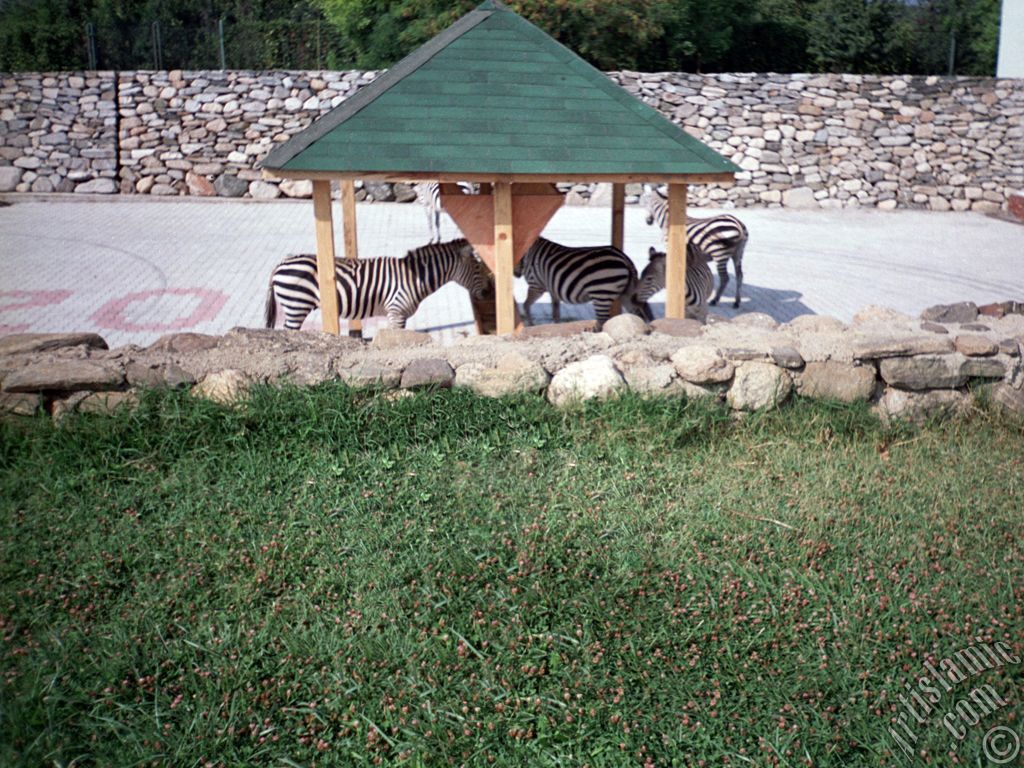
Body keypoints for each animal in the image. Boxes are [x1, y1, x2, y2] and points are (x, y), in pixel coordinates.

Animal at [264, 239, 487, 331]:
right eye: (478, 266)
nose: (488, 292)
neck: (413, 278)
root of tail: (280, 263)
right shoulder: (396, 312)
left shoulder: (397, 315)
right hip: (296, 305)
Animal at [512, 237, 647, 327]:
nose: (515, 274)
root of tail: (625, 258)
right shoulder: (552, 288)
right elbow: (555, 310)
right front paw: (556, 325)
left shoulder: (536, 285)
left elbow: (526, 305)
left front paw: (530, 324)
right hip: (625, 293)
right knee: (636, 313)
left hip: (602, 293)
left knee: (603, 320)